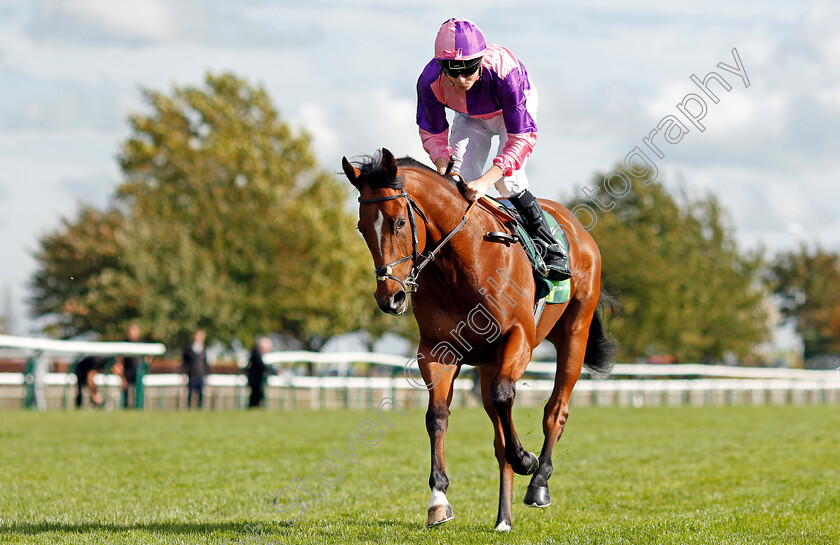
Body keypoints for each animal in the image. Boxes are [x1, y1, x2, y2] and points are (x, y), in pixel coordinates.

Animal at [342, 149, 616, 532]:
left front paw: (526, 459)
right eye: (361, 227)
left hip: (574, 334)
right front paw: (438, 500)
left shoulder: (519, 339)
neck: (461, 261)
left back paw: (539, 483)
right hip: (488, 364)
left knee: (555, 411)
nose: (390, 298)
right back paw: (504, 518)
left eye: (398, 223)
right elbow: (437, 416)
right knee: (500, 437)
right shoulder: (437, 352)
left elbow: (506, 398)